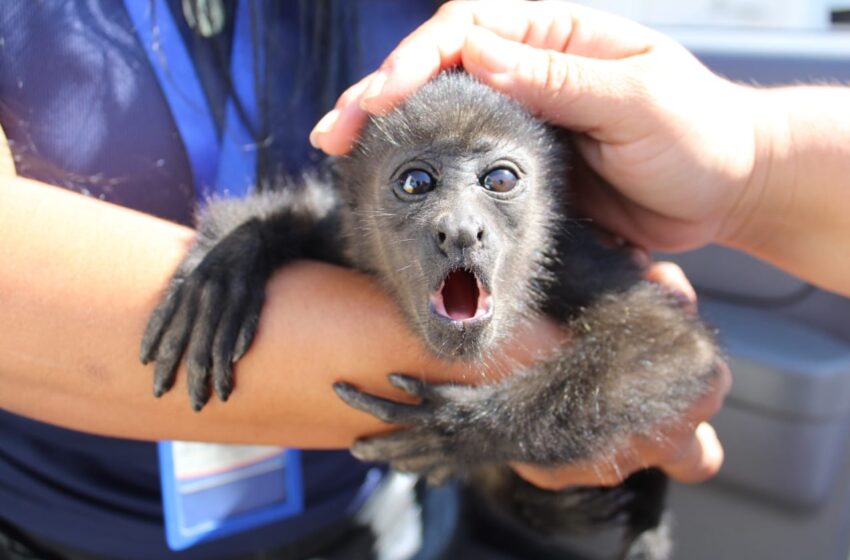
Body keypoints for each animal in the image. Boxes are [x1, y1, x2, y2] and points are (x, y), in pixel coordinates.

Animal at [141, 72, 724, 556]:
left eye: (500, 181)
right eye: (416, 183)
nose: (461, 231)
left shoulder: (572, 257)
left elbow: (674, 344)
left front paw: (461, 430)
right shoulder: (344, 237)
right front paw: (226, 267)